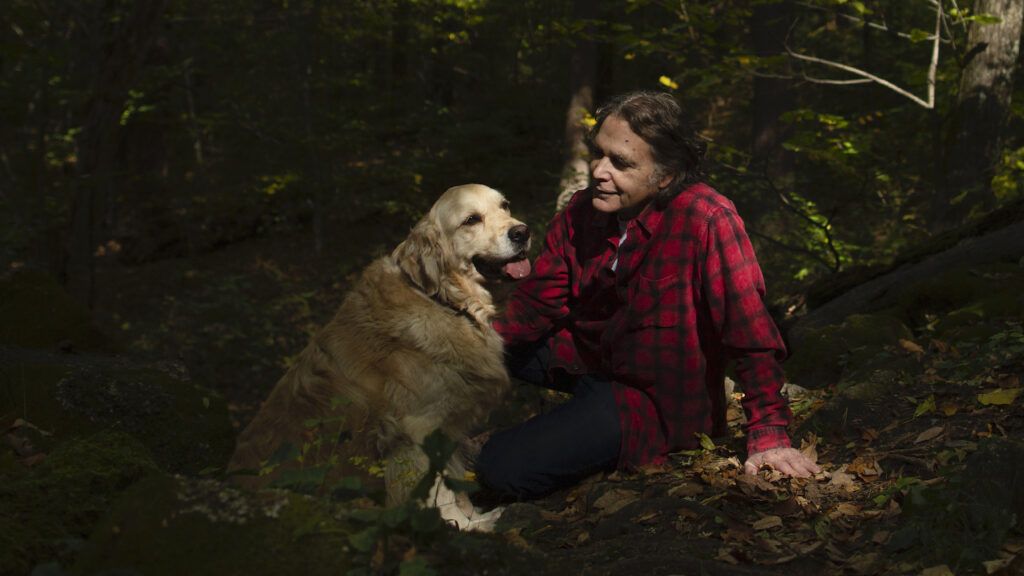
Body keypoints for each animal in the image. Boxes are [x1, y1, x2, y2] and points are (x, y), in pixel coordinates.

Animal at [224, 183, 528, 528]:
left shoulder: (443, 424)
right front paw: (463, 527)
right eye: (471, 220)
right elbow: (438, 490)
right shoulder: (415, 428)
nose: (523, 232)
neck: (441, 299)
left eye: (505, 205)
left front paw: (474, 518)